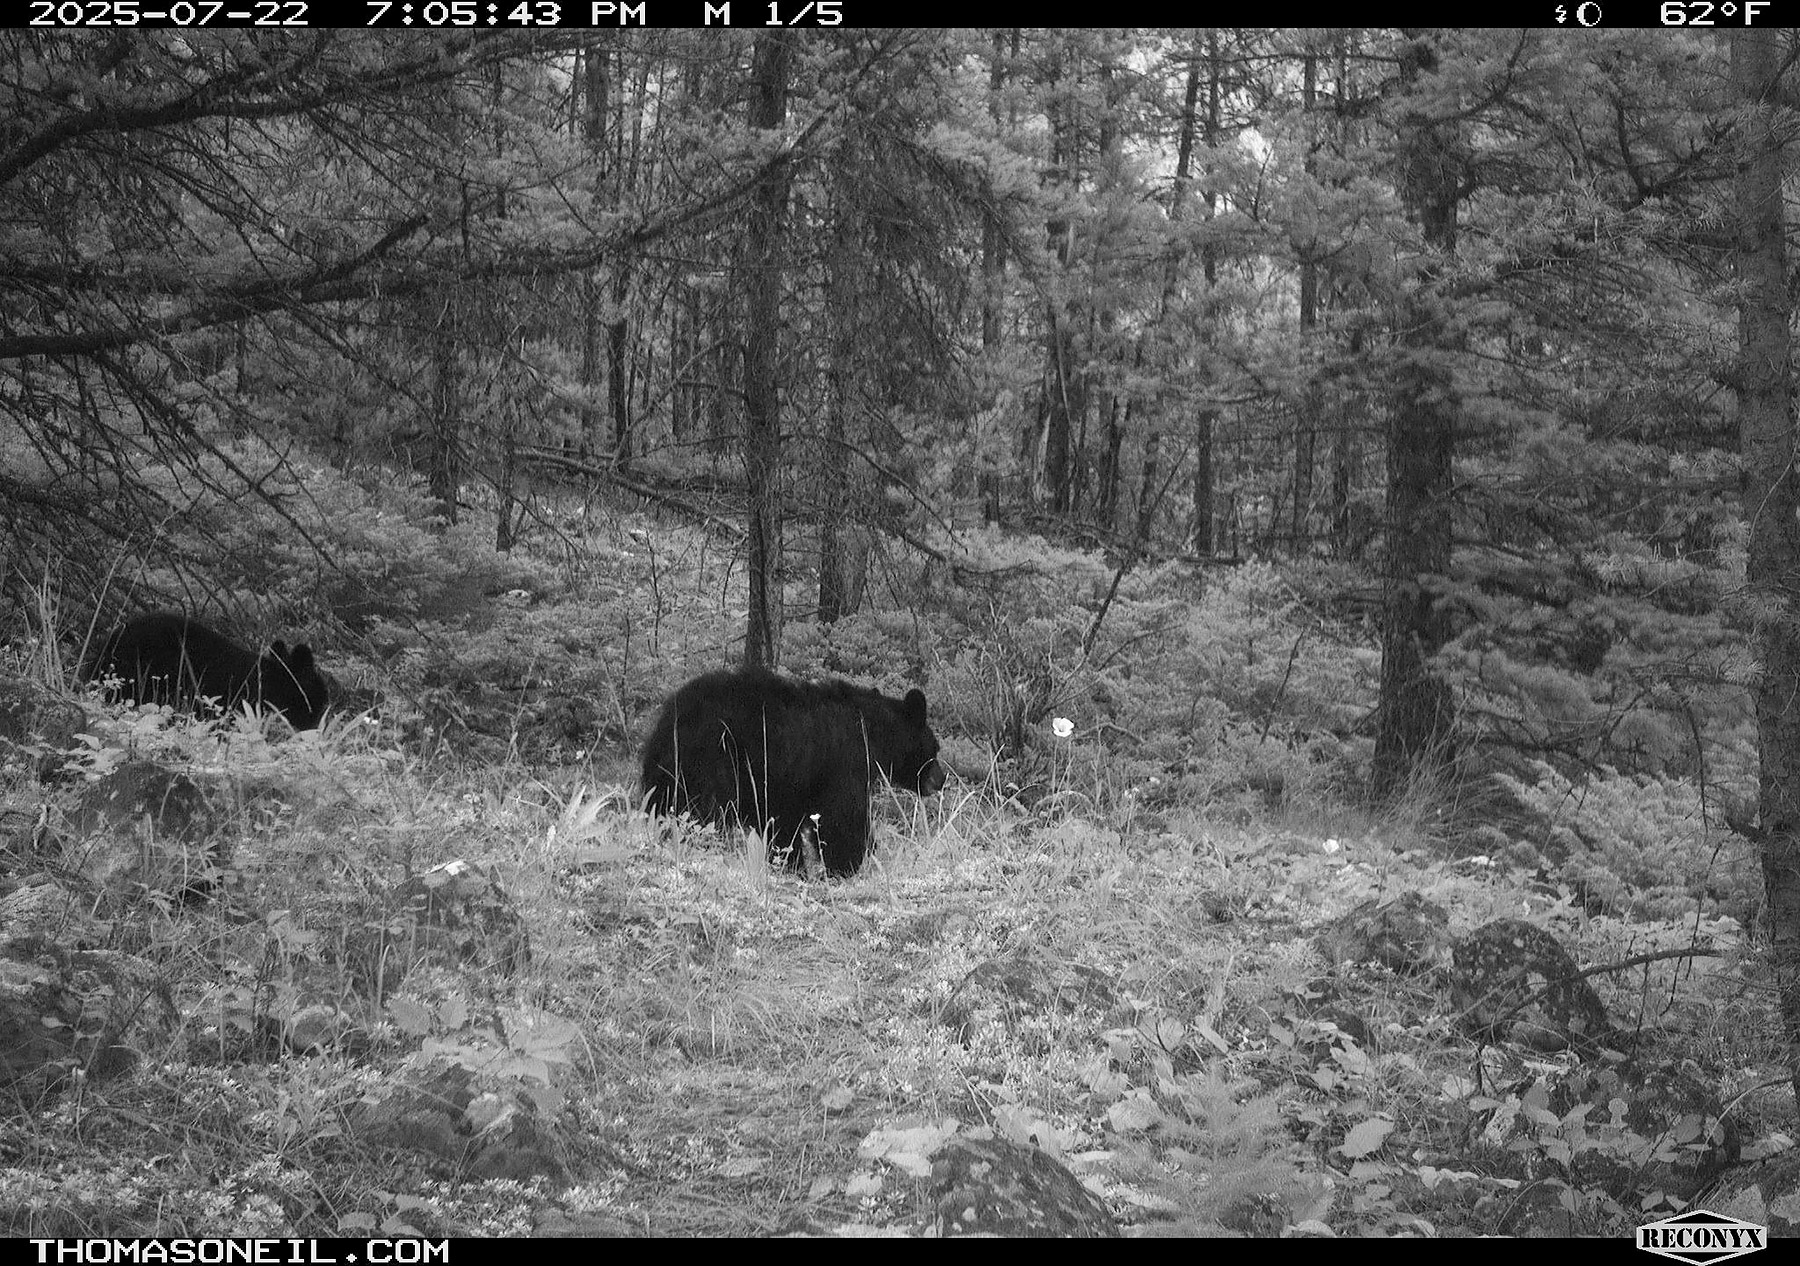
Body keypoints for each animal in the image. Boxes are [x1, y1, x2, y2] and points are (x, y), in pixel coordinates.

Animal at [641, 668, 946, 877]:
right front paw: (849, 863)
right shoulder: (844, 761)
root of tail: (670, 718)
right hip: (712, 758)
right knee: (700, 811)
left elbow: (784, 824)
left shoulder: (789, 785)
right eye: (935, 748)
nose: (941, 779)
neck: (872, 732)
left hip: (667, 772)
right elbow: (843, 817)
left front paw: (789, 864)